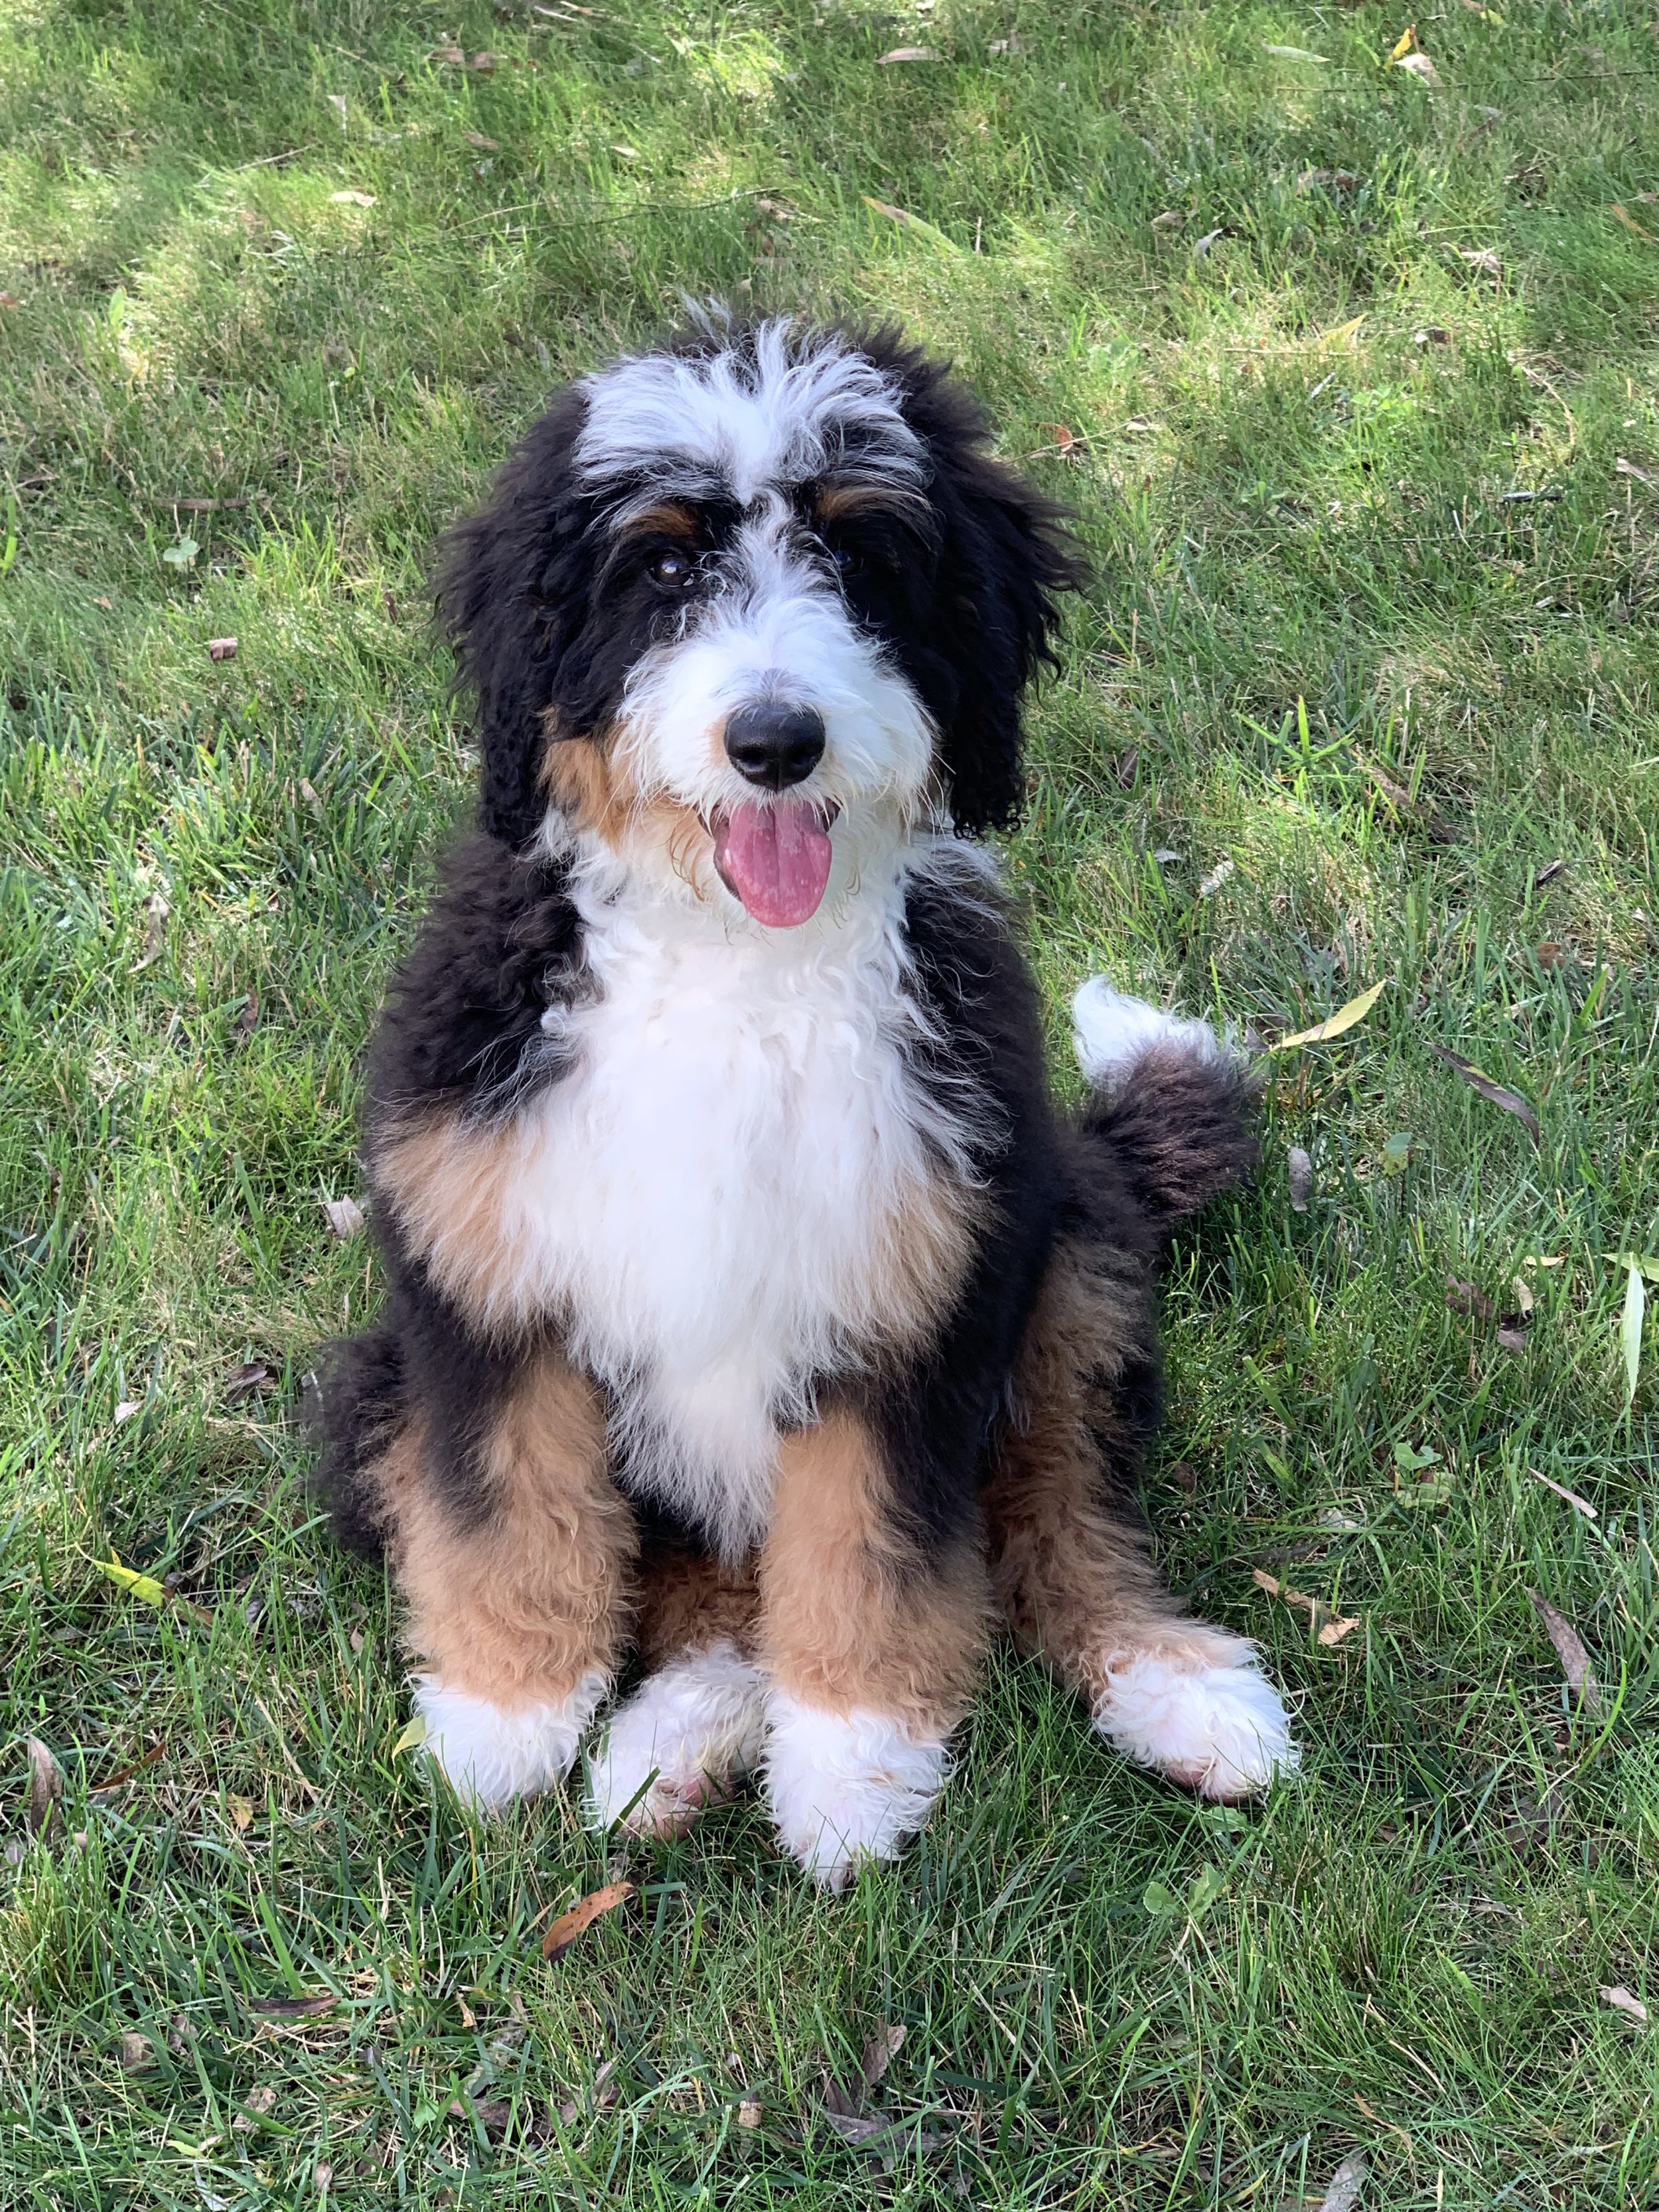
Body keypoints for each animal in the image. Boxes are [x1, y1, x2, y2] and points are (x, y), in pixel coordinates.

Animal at [312, 307, 1301, 1884]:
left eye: (859, 555)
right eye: (662, 568)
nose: (774, 741)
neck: (736, 967)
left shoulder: (913, 1297)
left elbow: (869, 1548)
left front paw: (851, 1768)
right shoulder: (481, 1284)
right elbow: (508, 1500)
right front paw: (502, 1717)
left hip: (1068, 1265)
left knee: (1058, 1515)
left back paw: (1173, 1686)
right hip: (371, 1392)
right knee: (699, 1590)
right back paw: (676, 1741)